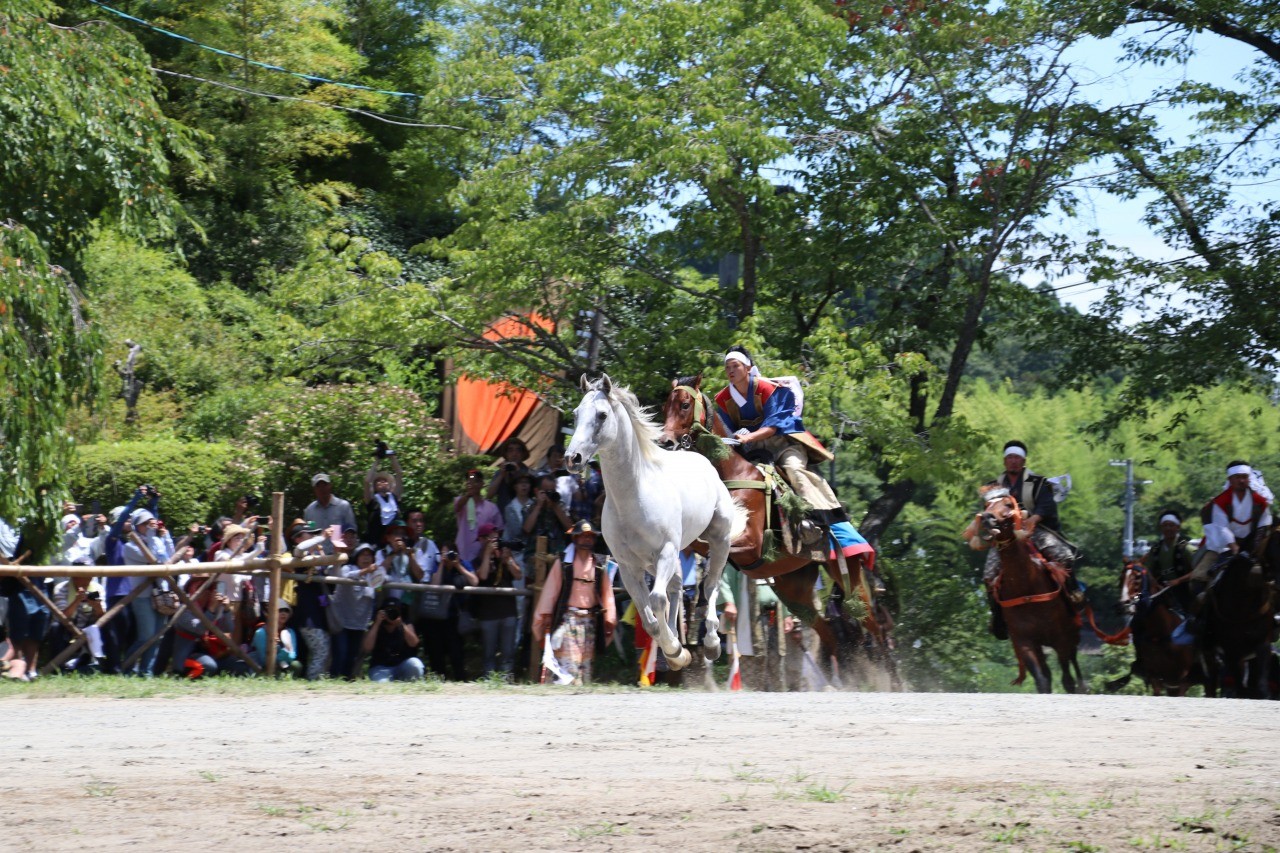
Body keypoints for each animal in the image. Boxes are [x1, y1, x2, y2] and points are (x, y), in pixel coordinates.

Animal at [565, 373, 747, 671]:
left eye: (602, 415)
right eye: (576, 413)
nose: (572, 458)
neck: (634, 497)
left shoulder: (665, 551)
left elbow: (658, 599)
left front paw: (674, 648)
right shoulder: (628, 566)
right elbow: (649, 619)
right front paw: (676, 653)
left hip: (717, 540)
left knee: (710, 586)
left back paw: (711, 643)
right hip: (676, 554)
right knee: (677, 588)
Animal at [657, 375, 897, 690]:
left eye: (684, 405)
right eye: (665, 405)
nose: (665, 441)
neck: (731, 472)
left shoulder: (750, 544)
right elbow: (691, 549)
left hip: (851, 579)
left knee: (877, 633)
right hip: (794, 590)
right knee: (831, 635)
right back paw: (837, 682)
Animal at [971, 485, 1083, 694]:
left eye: (1008, 504)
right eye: (986, 505)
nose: (987, 518)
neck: (1026, 588)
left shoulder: (1060, 639)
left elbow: (1067, 679)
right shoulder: (1025, 642)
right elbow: (1042, 680)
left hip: (1072, 634)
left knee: (1073, 666)